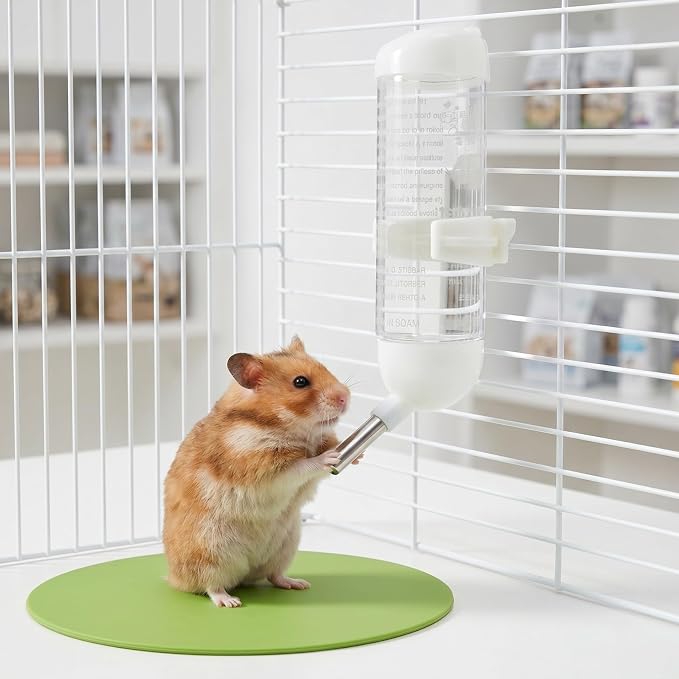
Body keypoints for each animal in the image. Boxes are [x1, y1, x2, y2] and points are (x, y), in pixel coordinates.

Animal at [162, 336, 352, 608]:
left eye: (324, 367)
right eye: (300, 382)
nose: (346, 396)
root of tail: (174, 578)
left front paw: (355, 454)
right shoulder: (262, 467)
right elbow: (302, 466)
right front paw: (330, 457)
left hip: (286, 545)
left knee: (273, 575)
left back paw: (298, 584)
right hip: (209, 552)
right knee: (211, 585)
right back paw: (230, 602)